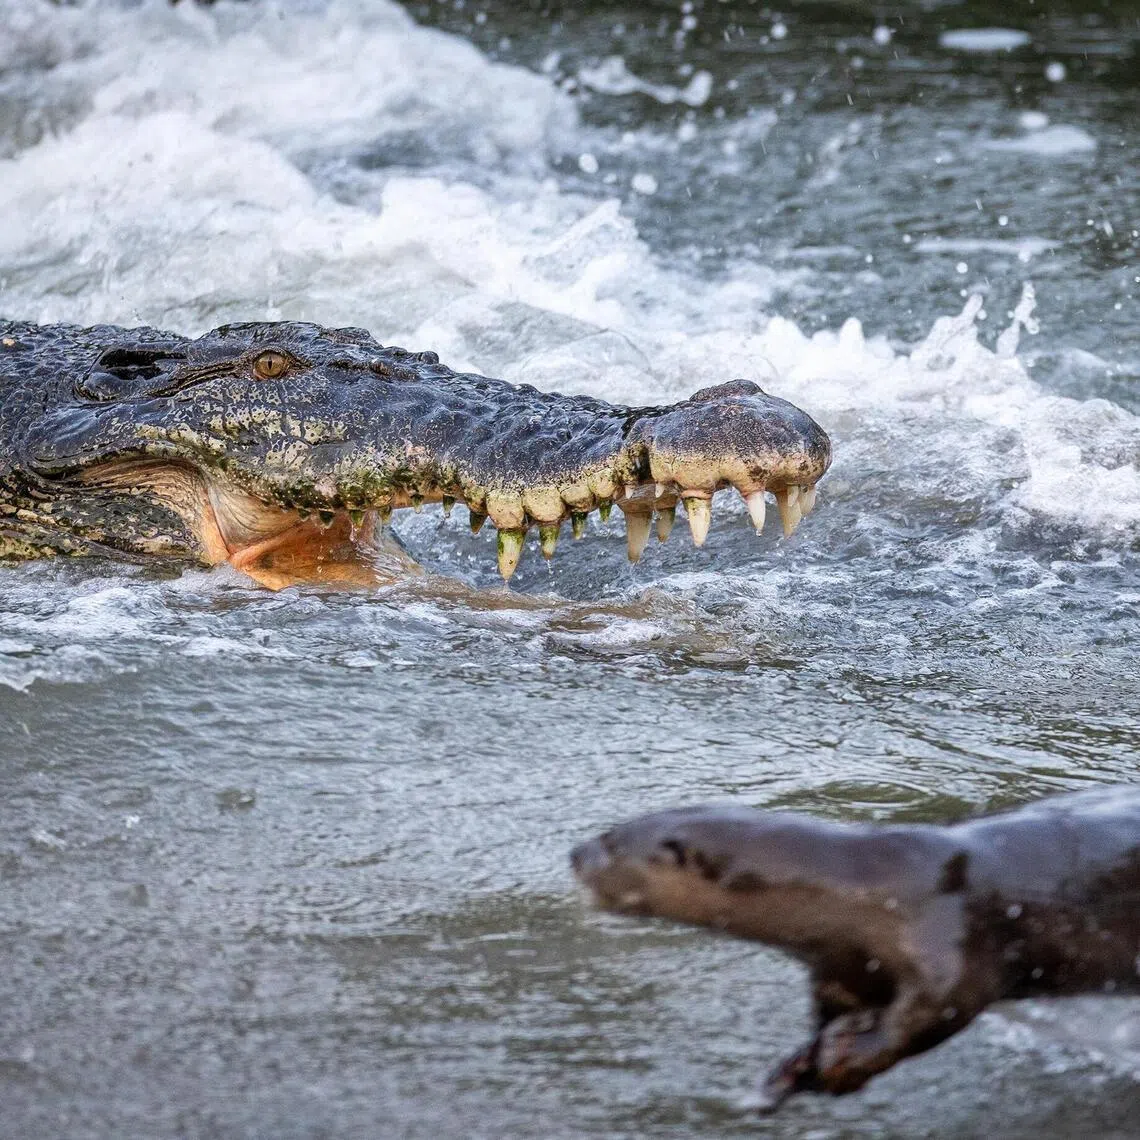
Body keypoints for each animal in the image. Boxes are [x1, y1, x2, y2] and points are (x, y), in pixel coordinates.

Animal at [571, 787, 1140, 1108]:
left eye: (611, 840)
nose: (575, 851)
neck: (874, 889)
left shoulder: (952, 942)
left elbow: (932, 1013)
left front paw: (851, 1060)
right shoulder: (841, 970)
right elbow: (829, 1015)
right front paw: (793, 1070)